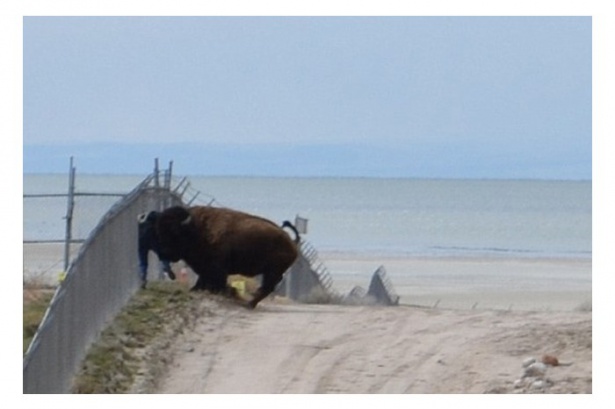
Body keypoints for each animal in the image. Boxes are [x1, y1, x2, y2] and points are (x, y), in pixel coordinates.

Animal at [146, 206, 298, 308]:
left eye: (174, 232)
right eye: (158, 231)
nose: (164, 253)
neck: (196, 228)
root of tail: (291, 242)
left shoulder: (216, 268)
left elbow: (216, 281)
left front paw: (224, 292)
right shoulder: (204, 267)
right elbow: (202, 280)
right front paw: (195, 289)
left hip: (273, 271)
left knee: (267, 287)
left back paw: (249, 303)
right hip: (273, 272)